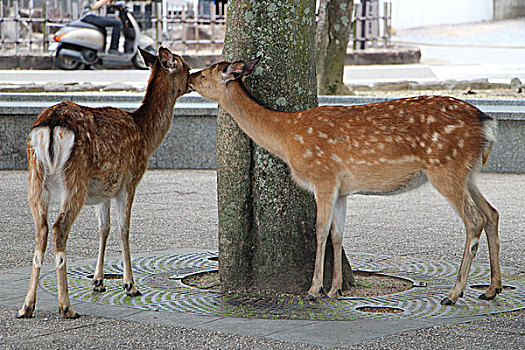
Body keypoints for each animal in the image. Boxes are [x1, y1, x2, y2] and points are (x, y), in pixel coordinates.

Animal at [17, 47, 191, 320]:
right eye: (188, 68)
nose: (193, 81)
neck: (145, 134)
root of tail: (51, 125)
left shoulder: (104, 190)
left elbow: (104, 228)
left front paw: (98, 282)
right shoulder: (129, 180)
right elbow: (123, 228)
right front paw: (130, 285)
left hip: (36, 178)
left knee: (41, 229)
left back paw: (27, 306)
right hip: (75, 179)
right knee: (58, 228)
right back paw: (66, 306)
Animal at [187, 56, 500, 304]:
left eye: (205, 73)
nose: (188, 76)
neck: (287, 137)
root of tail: (486, 123)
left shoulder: (323, 175)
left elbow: (320, 229)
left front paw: (314, 289)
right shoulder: (342, 189)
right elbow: (338, 233)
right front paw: (335, 288)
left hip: (445, 167)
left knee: (474, 219)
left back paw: (453, 294)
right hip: (468, 172)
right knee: (492, 213)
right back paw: (491, 289)